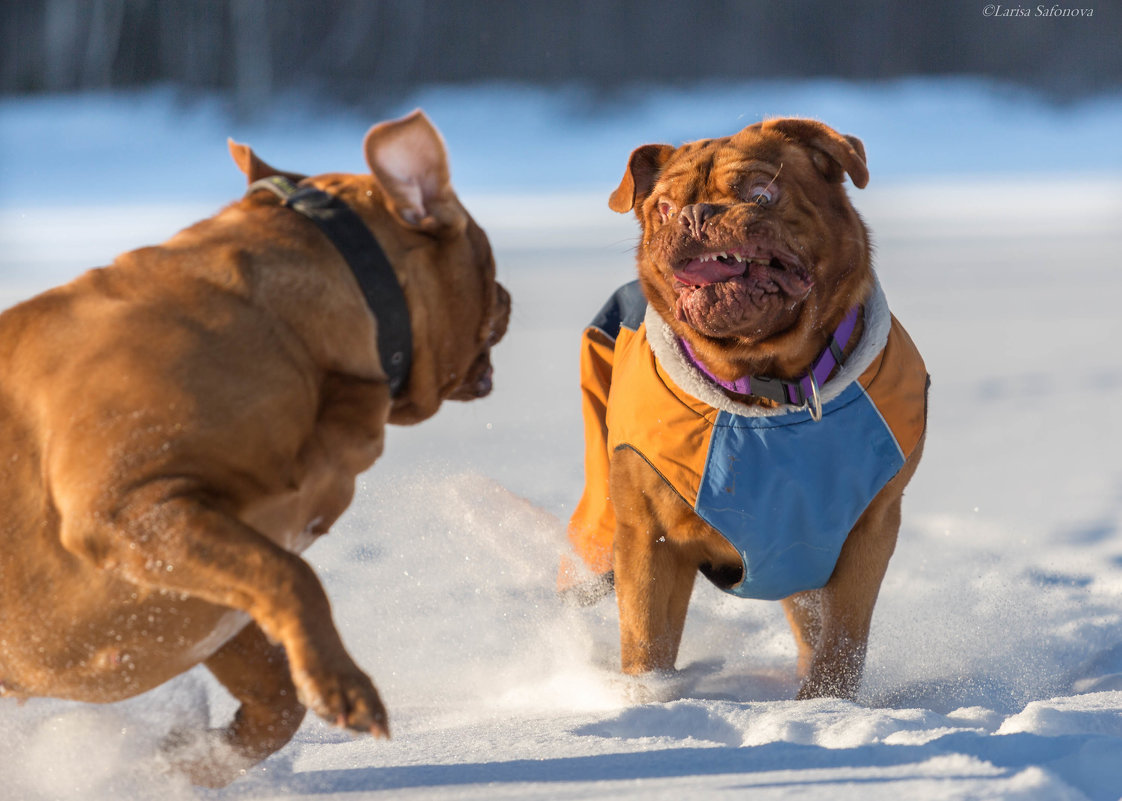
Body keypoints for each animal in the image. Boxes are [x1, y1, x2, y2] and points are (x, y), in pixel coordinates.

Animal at [0, 109, 509, 785]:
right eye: (487, 257)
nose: (507, 297)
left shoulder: (208, 588)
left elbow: (277, 696)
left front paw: (180, 766)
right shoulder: (133, 510)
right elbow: (295, 577)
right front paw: (343, 689)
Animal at [565, 118, 924, 700]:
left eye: (760, 194)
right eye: (664, 207)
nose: (695, 214)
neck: (770, 386)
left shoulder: (864, 531)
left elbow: (842, 638)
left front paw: (825, 705)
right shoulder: (647, 535)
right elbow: (645, 634)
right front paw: (648, 698)